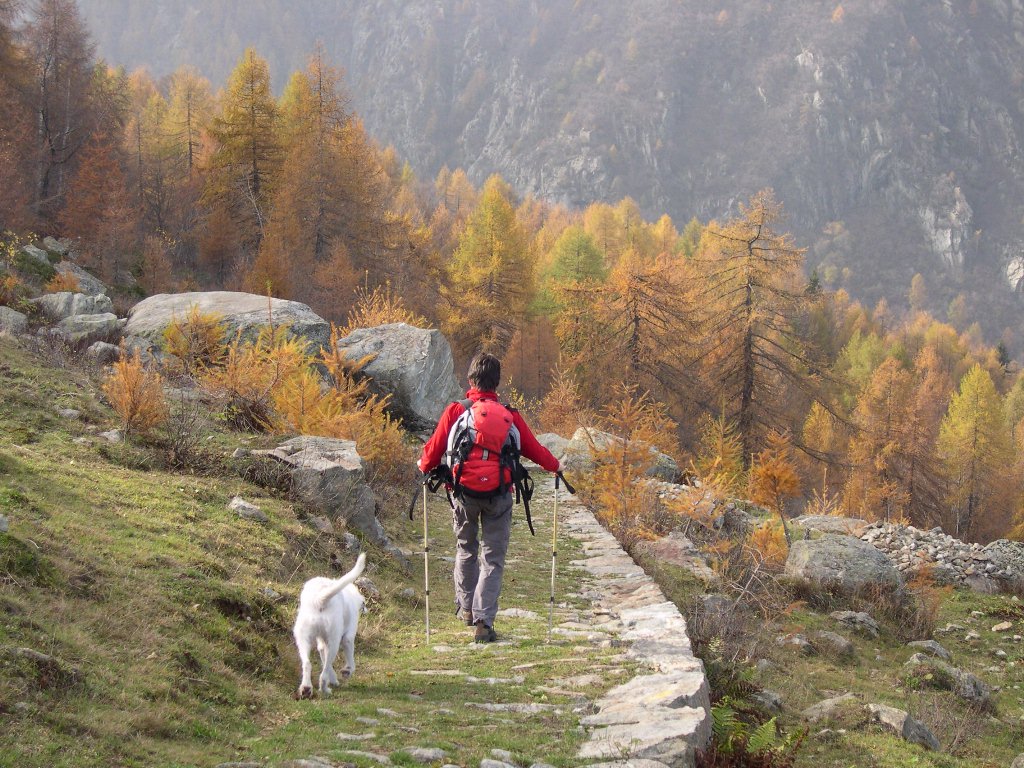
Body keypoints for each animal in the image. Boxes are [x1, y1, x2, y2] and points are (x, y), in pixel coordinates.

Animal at [294, 548, 366, 700]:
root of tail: (320, 598)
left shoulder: (321, 644)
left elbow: (324, 659)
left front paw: (334, 679)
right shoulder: (348, 638)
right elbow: (349, 662)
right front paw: (346, 671)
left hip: (303, 638)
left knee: (308, 664)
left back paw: (306, 689)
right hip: (334, 640)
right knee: (323, 673)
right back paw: (324, 689)